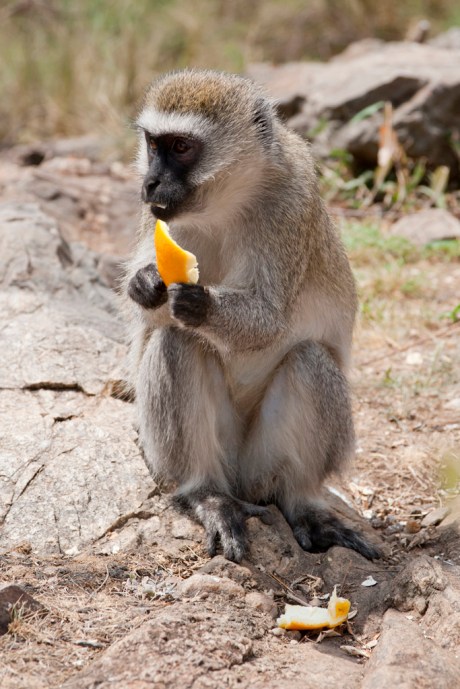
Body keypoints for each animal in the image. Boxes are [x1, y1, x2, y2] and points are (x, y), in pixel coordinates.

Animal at [123, 69, 381, 563]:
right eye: (152, 144)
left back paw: (300, 502)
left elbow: (269, 320)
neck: (226, 202)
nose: (150, 183)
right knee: (176, 342)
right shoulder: (157, 217)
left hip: (260, 463)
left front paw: (197, 303)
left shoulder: (291, 203)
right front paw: (145, 285)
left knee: (308, 361)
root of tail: (241, 481)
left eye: (180, 147)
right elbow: (148, 310)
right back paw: (207, 495)